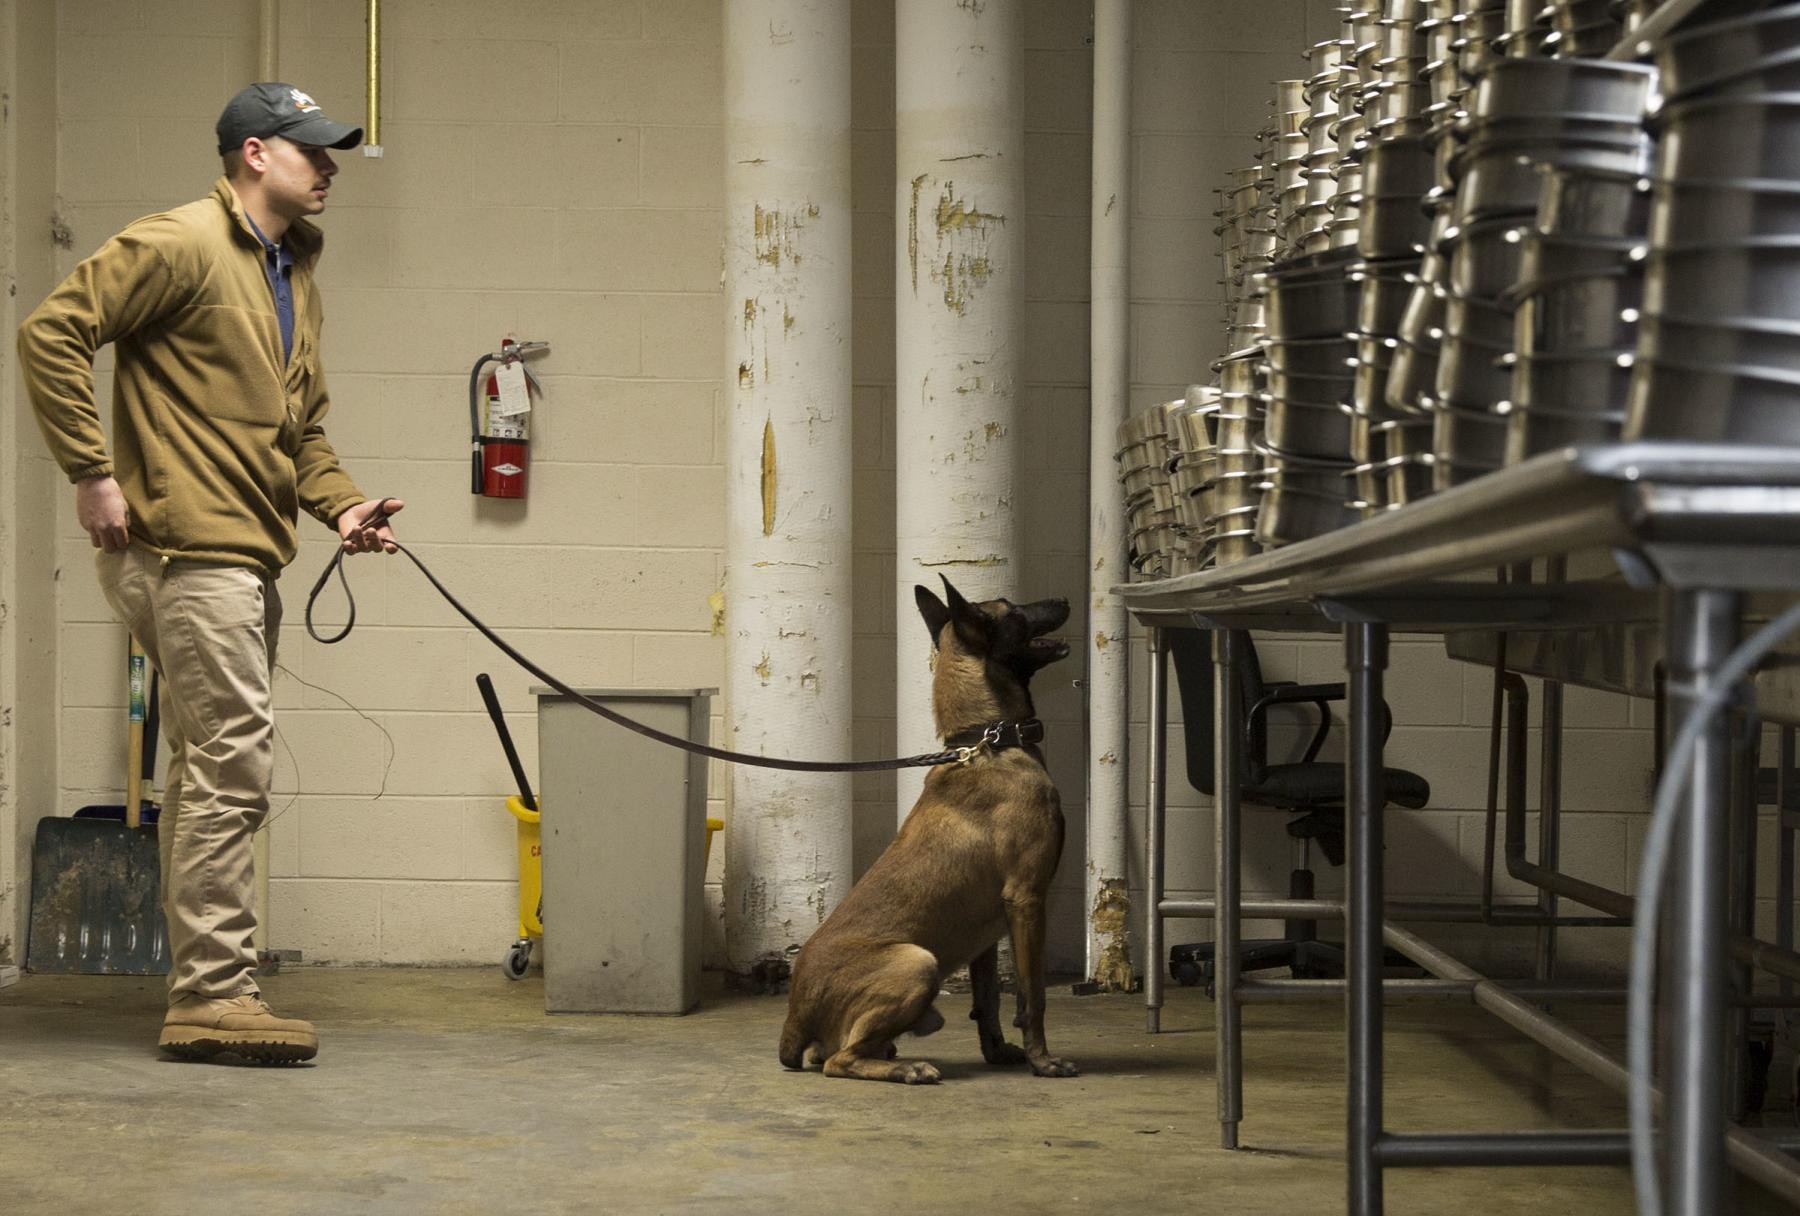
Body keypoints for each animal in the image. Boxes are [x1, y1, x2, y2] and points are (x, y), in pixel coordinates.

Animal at [777, 579, 1080, 1086]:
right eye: (1013, 609)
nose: (1065, 598)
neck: (989, 741)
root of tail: (796, 1011)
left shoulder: (988, 928)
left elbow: (989, 998)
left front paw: (998, 1052)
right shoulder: (1027, 899)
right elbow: (1032, 996)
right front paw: (1043, 1061)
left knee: (831, 1054)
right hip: (917, 960)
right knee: (839, 1062)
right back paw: (908, 1069)